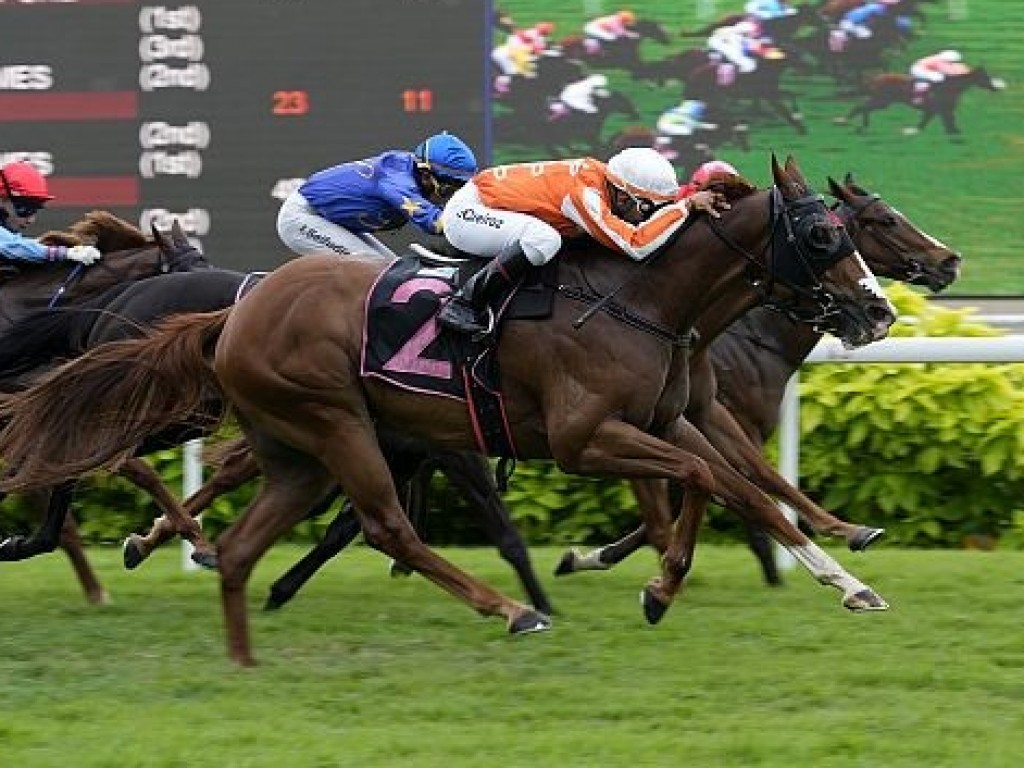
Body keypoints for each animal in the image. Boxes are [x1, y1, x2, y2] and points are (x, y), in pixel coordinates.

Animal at [0, 154, 897, 663]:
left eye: (855, 230)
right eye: (827, 236)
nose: (878, 310)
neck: (639, 298)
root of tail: (238, 313)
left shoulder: (665, 419)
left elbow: (746, 489)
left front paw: (850, 580)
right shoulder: (583, 439)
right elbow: (698, 484)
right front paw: (657, 587)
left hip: (300, 447)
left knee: (267, 519)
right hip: (334, 422)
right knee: (380, 522)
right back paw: (512, 612)